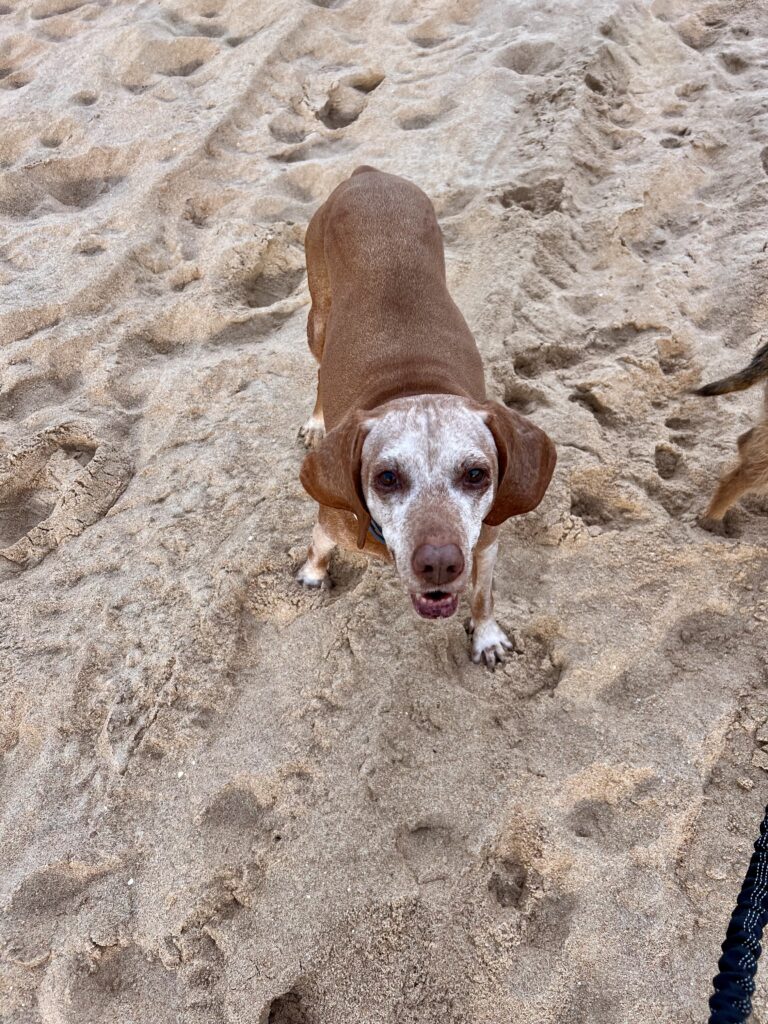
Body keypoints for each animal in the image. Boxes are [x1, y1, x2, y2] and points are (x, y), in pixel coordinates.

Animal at [296, 165, 557, 663]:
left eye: (476, 475)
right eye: (387, 478)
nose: (438, 563)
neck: (413, 386)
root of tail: (367, 174)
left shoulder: (487, 543)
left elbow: (483, 595)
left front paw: (486, 636)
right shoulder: (331, 519)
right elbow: (319, 547)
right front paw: (313, 574)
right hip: (317, 319)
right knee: (318, 371)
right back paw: (317, 422)